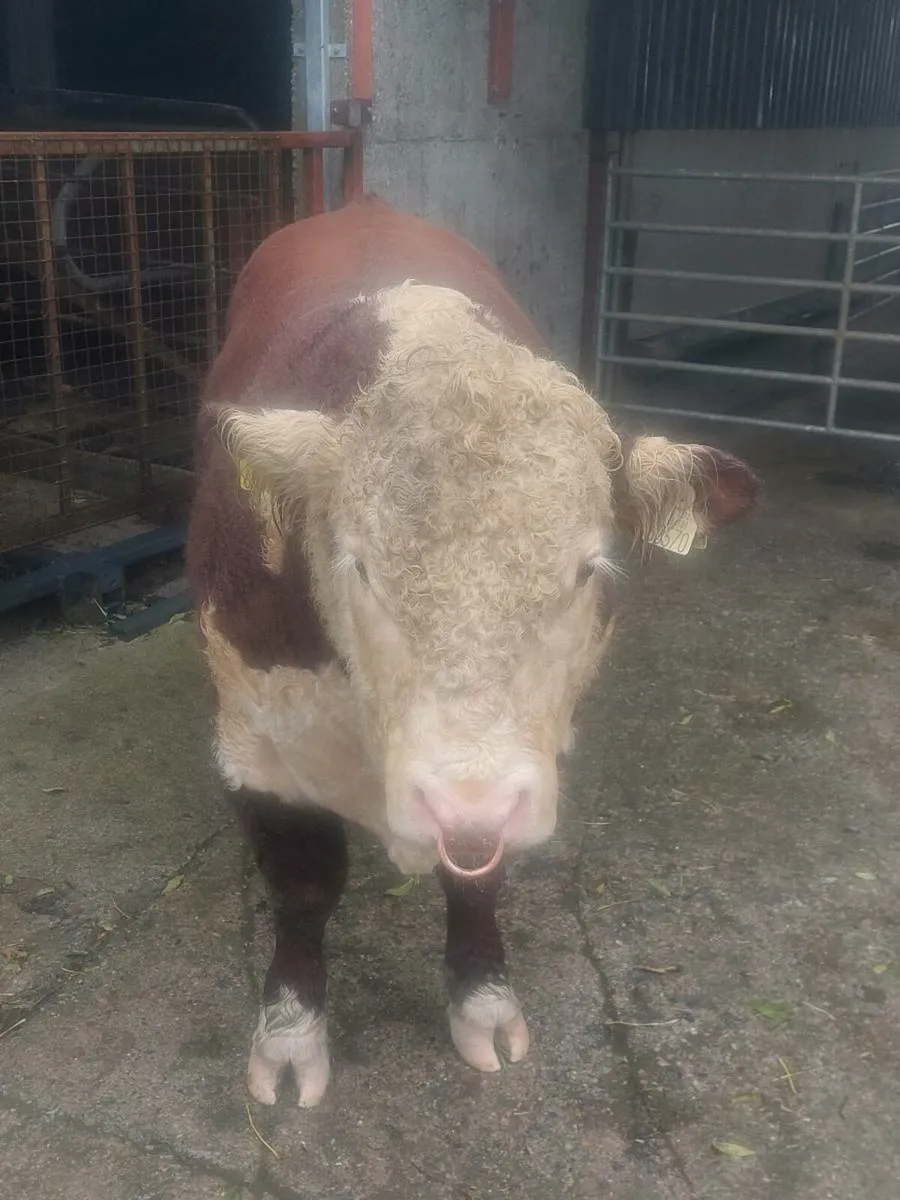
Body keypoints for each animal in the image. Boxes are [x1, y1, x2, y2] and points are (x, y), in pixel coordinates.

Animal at [186, 194, 760, 1108]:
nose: (463, 799)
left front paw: (483, 999)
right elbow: (304, 887)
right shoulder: (255, 740)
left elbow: (479, 874)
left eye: (587, 570)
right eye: (360, 567)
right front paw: (290, 1036)